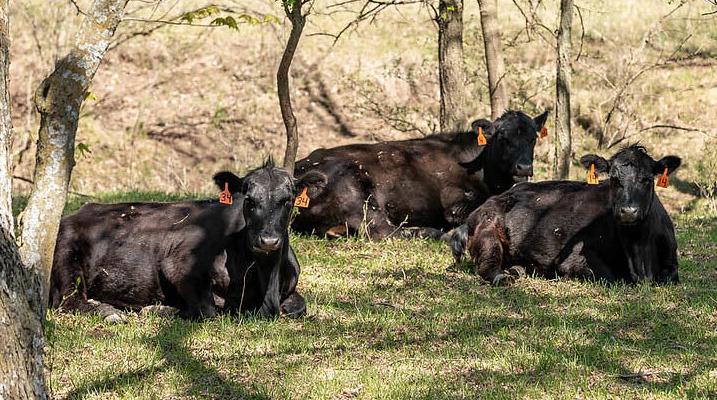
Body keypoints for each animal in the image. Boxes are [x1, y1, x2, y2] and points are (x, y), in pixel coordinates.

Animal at [49, 160, 306, 321]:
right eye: (249, 200)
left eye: (288, 200)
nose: (268, 241)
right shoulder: (177, 264)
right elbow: (208, 310)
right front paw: (159, 309)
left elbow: (299, 306)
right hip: (65, 256)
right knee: (69, 300)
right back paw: (109, 312)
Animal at [291, 110, 549, 240]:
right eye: (503, 137)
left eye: (533, 138)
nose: (524, 167)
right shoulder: (454, 205)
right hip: (360, 199)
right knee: (384, 232)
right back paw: (434, 232)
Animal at [448, 145, 681, 285]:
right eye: (614, 179)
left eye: (647, 179)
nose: (628, 211)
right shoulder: (574, 259)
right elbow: (607, 276)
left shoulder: (672, 267)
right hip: (489, 229)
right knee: (489, 267)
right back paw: (504, 276)